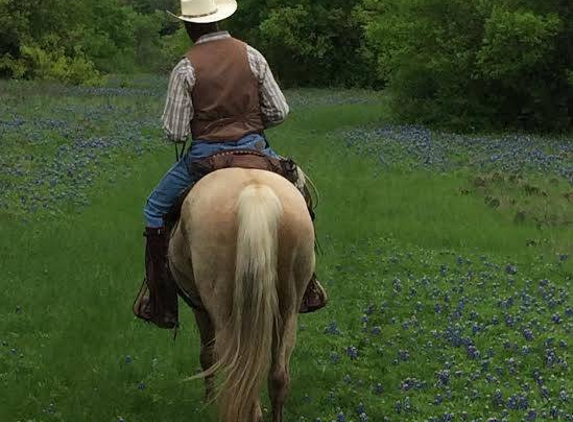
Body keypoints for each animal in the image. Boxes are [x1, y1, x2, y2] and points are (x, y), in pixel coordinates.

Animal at [168, 167, 316, 422]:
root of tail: (255, 194)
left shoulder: (200, 307)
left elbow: (207, 354)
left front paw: (208, 402)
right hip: (288, 310)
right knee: (278, 377)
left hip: (226, 315)